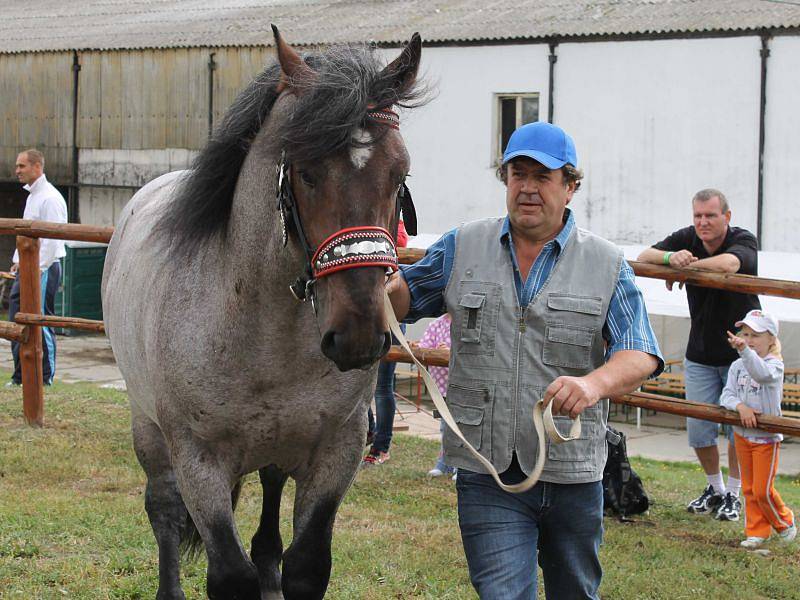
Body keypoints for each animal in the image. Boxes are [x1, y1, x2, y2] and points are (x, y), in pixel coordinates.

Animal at [103, 28, 422, 600]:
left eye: (399, 172)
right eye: (307, 172)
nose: (359, 335)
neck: (263, 333)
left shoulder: (337, 452)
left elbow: (306, 565)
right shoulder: (199, 460)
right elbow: (229, 573)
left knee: (270, 499)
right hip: (149, 430)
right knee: (163, 510)